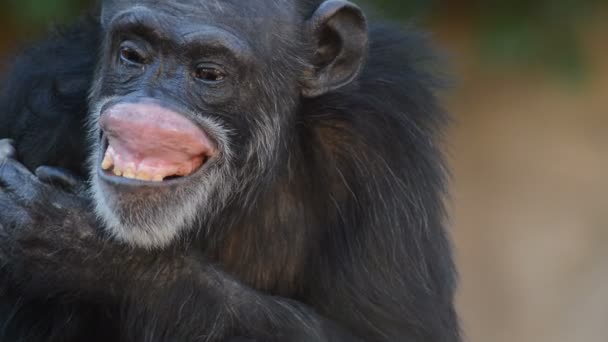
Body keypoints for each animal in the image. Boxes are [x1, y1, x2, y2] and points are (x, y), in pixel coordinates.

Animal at [0, 0, 458, 340]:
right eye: (132, 55)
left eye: (208, 73)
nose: (147, 111)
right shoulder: (38, 105)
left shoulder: (381, 140)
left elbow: (393, 332)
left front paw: (79, 246)